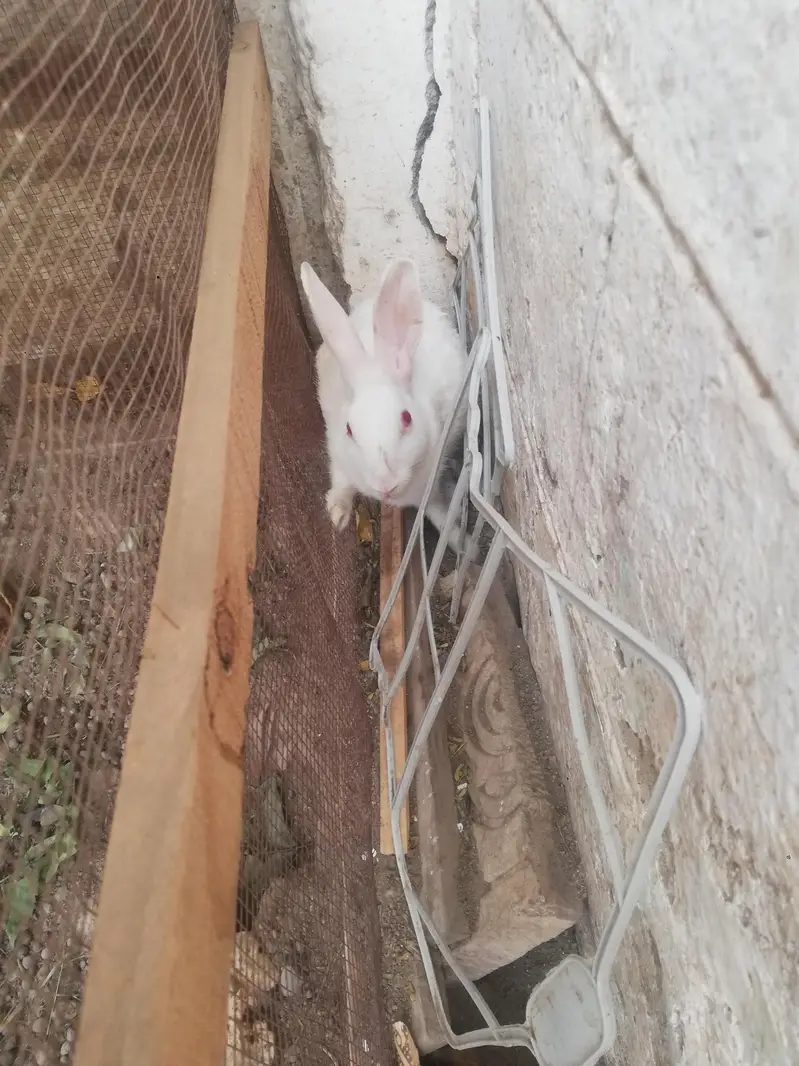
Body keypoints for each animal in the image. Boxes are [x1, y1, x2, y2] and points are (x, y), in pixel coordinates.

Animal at [300, 259, 469, 548]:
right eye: (349, 430)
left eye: (407, 418)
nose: (385, 485)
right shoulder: (337, 449)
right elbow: (341, 480)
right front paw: (337, 515)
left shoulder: (430, 480)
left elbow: (435, 509)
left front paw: (462, 542)